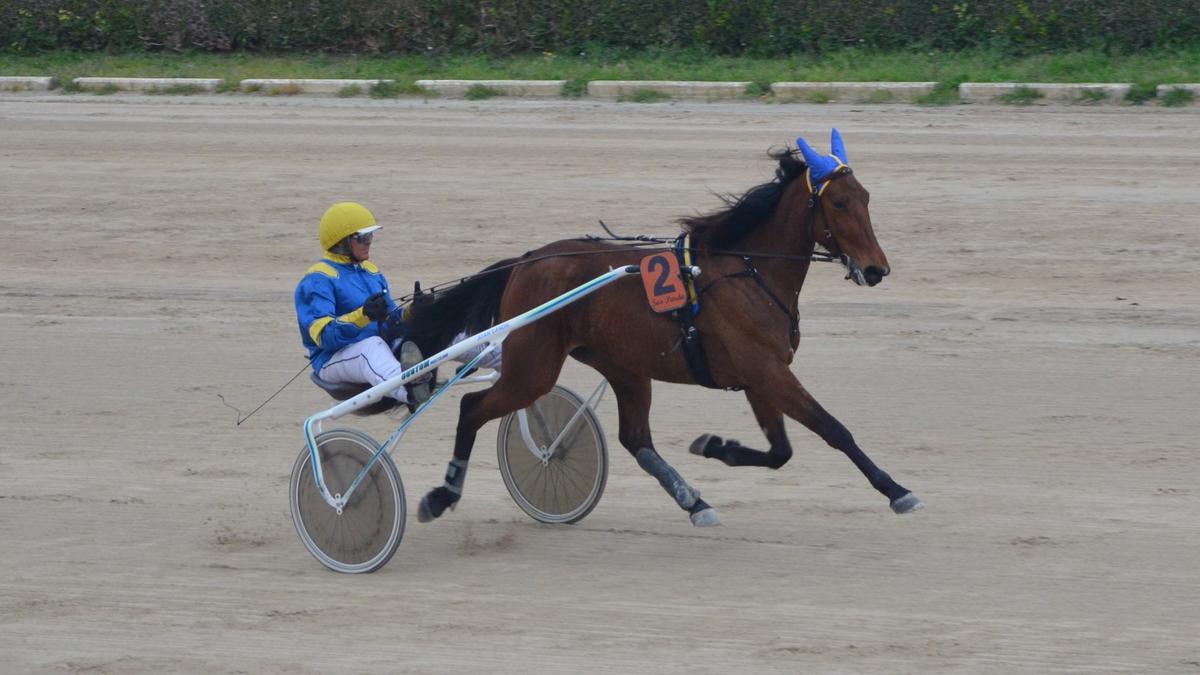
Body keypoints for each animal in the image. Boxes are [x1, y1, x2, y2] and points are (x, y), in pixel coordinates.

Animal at [408, 127, 921, 526]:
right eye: (840, 202)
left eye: (867, 198)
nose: (876, 269)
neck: (750, 270)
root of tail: (528, 260)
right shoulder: (769, 371)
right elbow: (834, 429)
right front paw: (896, 490)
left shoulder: (760, 376)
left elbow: (780, 451)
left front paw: (716, 446)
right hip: (533, 367)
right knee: (471, 408)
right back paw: (442, 494)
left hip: (624, 366)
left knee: (635, 439)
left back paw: (694, 501)